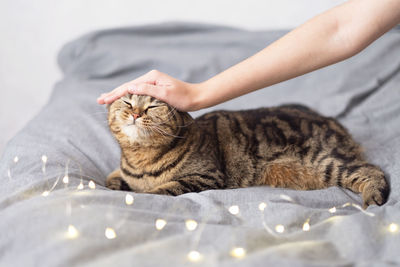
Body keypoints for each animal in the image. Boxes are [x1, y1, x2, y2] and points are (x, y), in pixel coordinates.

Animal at [105, 94, 388, 209]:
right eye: (127, 102)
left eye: (153, 106)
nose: (136, 113)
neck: (142, 158)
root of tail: (330, 120)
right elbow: (116, 178)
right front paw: (115, 183)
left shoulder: (206, 176)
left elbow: (164, 189)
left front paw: (144, 195)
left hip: (325, 162)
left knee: (372, 170)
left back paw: (374, 196)